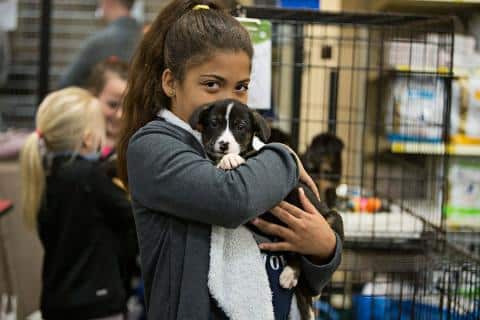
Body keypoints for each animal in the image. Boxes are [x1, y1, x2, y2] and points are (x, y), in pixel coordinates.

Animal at [189, 99, 344, 320]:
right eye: (214, 123)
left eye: (240, 126)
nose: (223, 145)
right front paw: (224, 159)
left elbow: (238, 159)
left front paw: (230, 159)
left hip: (331, 218)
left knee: (303, 252)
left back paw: (290, 275)